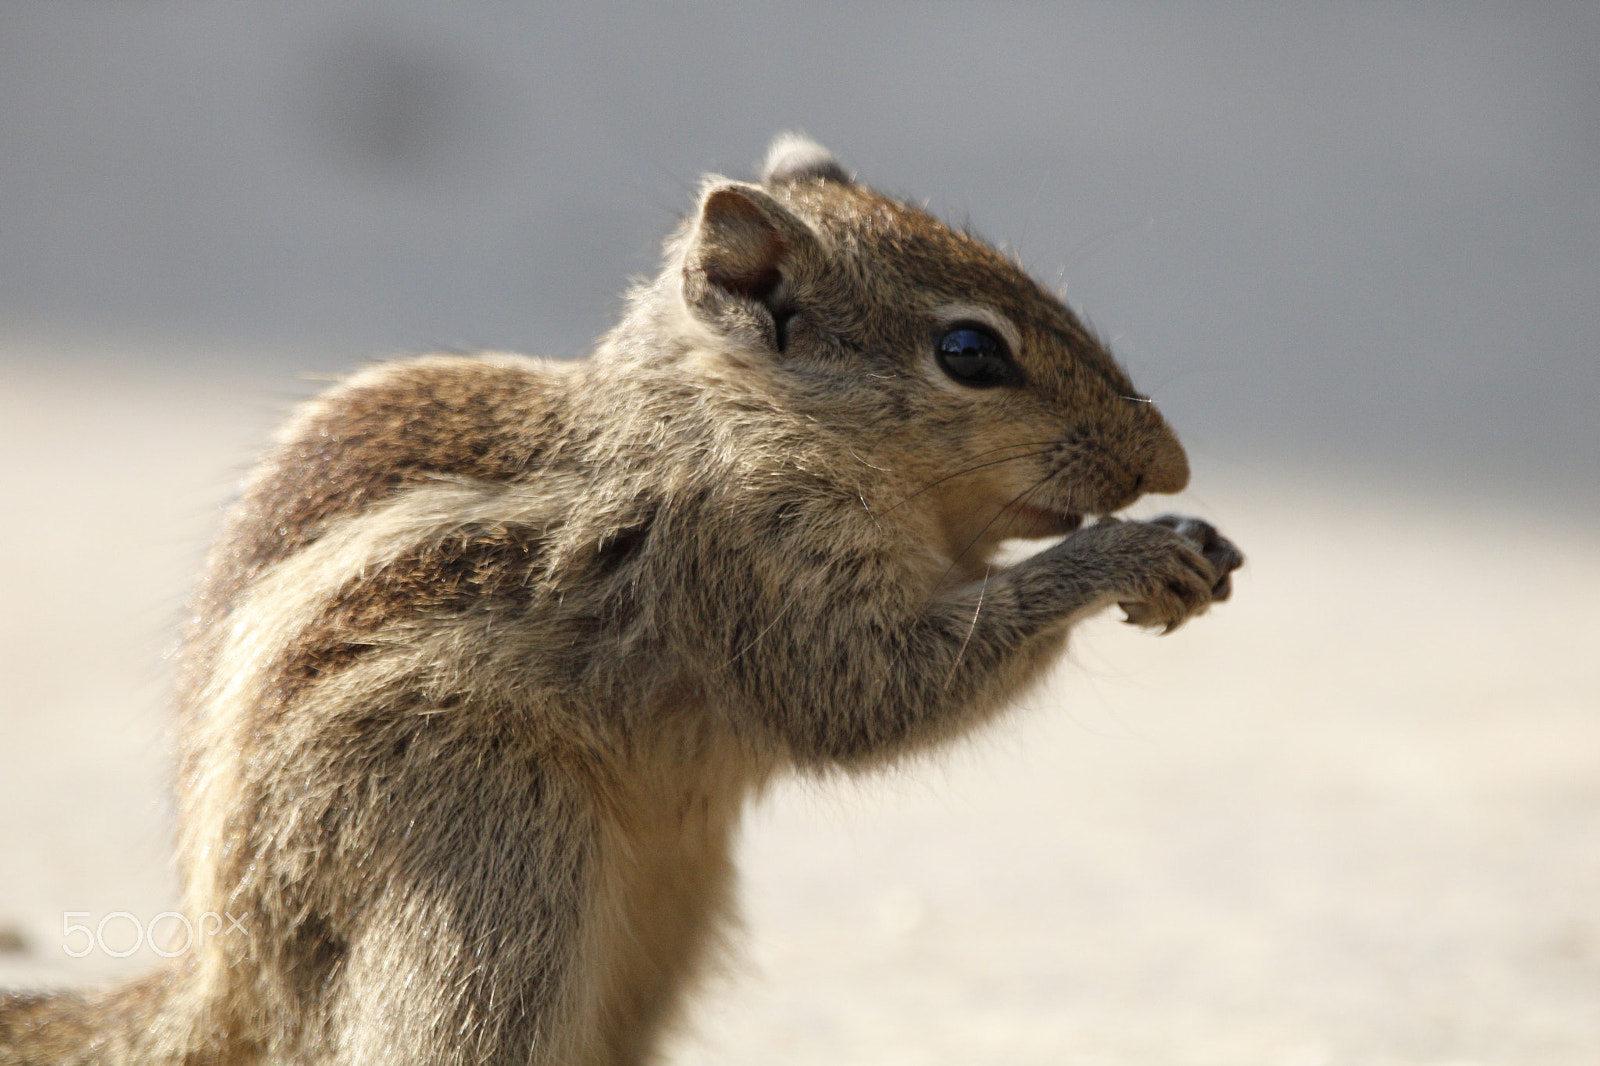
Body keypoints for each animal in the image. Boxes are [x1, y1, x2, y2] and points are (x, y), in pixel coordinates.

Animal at [0, 134, 1242, 1066]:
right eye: (972, 351)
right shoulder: (753, 561)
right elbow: (866, 693)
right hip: (495, 860)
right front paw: (1126, 555)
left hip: (665, 909)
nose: (1170, 462)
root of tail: (230, 976)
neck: (722, 414)